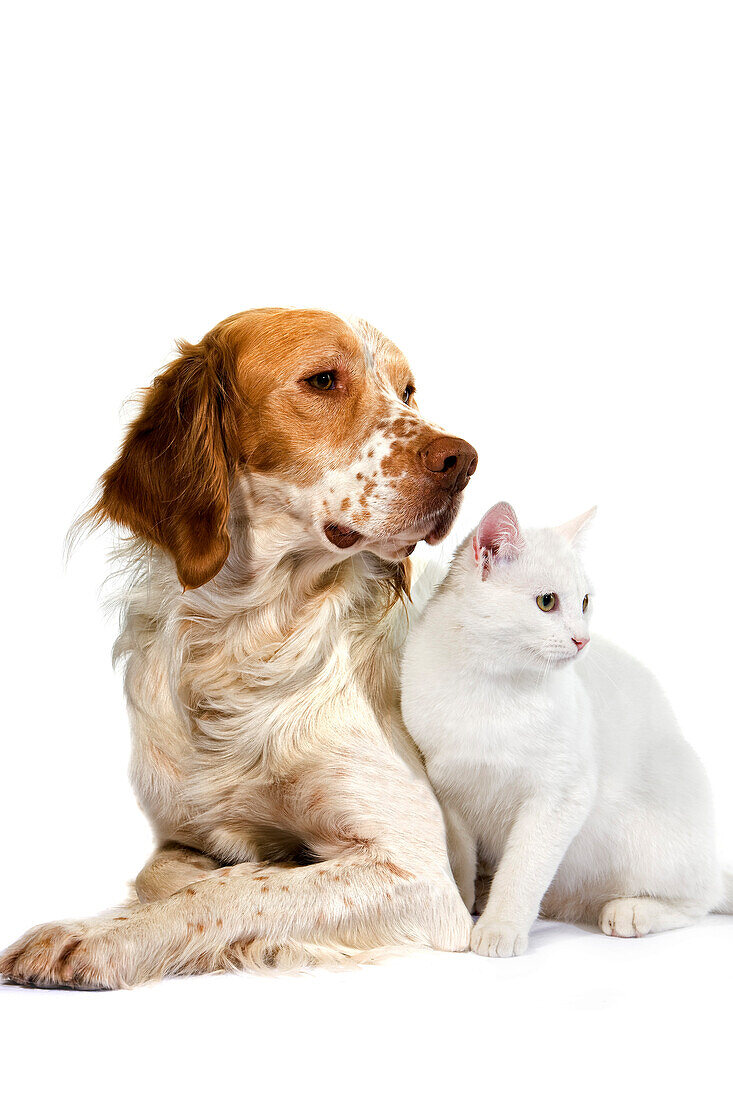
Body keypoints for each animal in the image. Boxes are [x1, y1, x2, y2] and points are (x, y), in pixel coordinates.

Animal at [0, 308, 477, 990]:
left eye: (408, 391)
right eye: (323, 380)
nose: (463, 460)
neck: (252, 636)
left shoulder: (419, 872)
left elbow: (232, 890)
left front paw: (93, 936)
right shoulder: (177, 835)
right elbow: (170, 875)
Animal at [402, 503, 726, 959]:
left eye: (585, 601)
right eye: (547, 602)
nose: (582, 639)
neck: (490, 686)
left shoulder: (560, 797)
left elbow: (523, 870)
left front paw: (499, 929)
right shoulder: (448, 791)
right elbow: (460, 857)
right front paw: (460, 907)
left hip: (648, 840)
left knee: (700, 898)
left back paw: (631, 911)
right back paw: (485, 893)